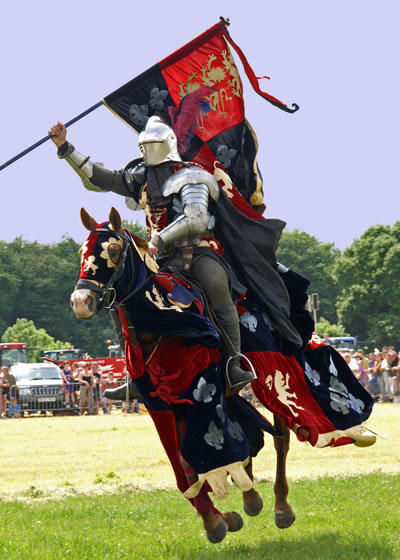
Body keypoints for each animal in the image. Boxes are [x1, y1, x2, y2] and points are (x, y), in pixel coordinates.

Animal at [71, 207, 376, 544]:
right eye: (81, 252)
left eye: (113, 251)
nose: (81, 302)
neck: (164, 327)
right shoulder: (162, 406)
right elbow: (186, 467)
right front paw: (219, 518)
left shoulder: (202, 392)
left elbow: (205, 455)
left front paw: (219, 518)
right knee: (252, 440)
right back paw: (250, 497)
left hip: (273, 374)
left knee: (280, 438)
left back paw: (280, 505)